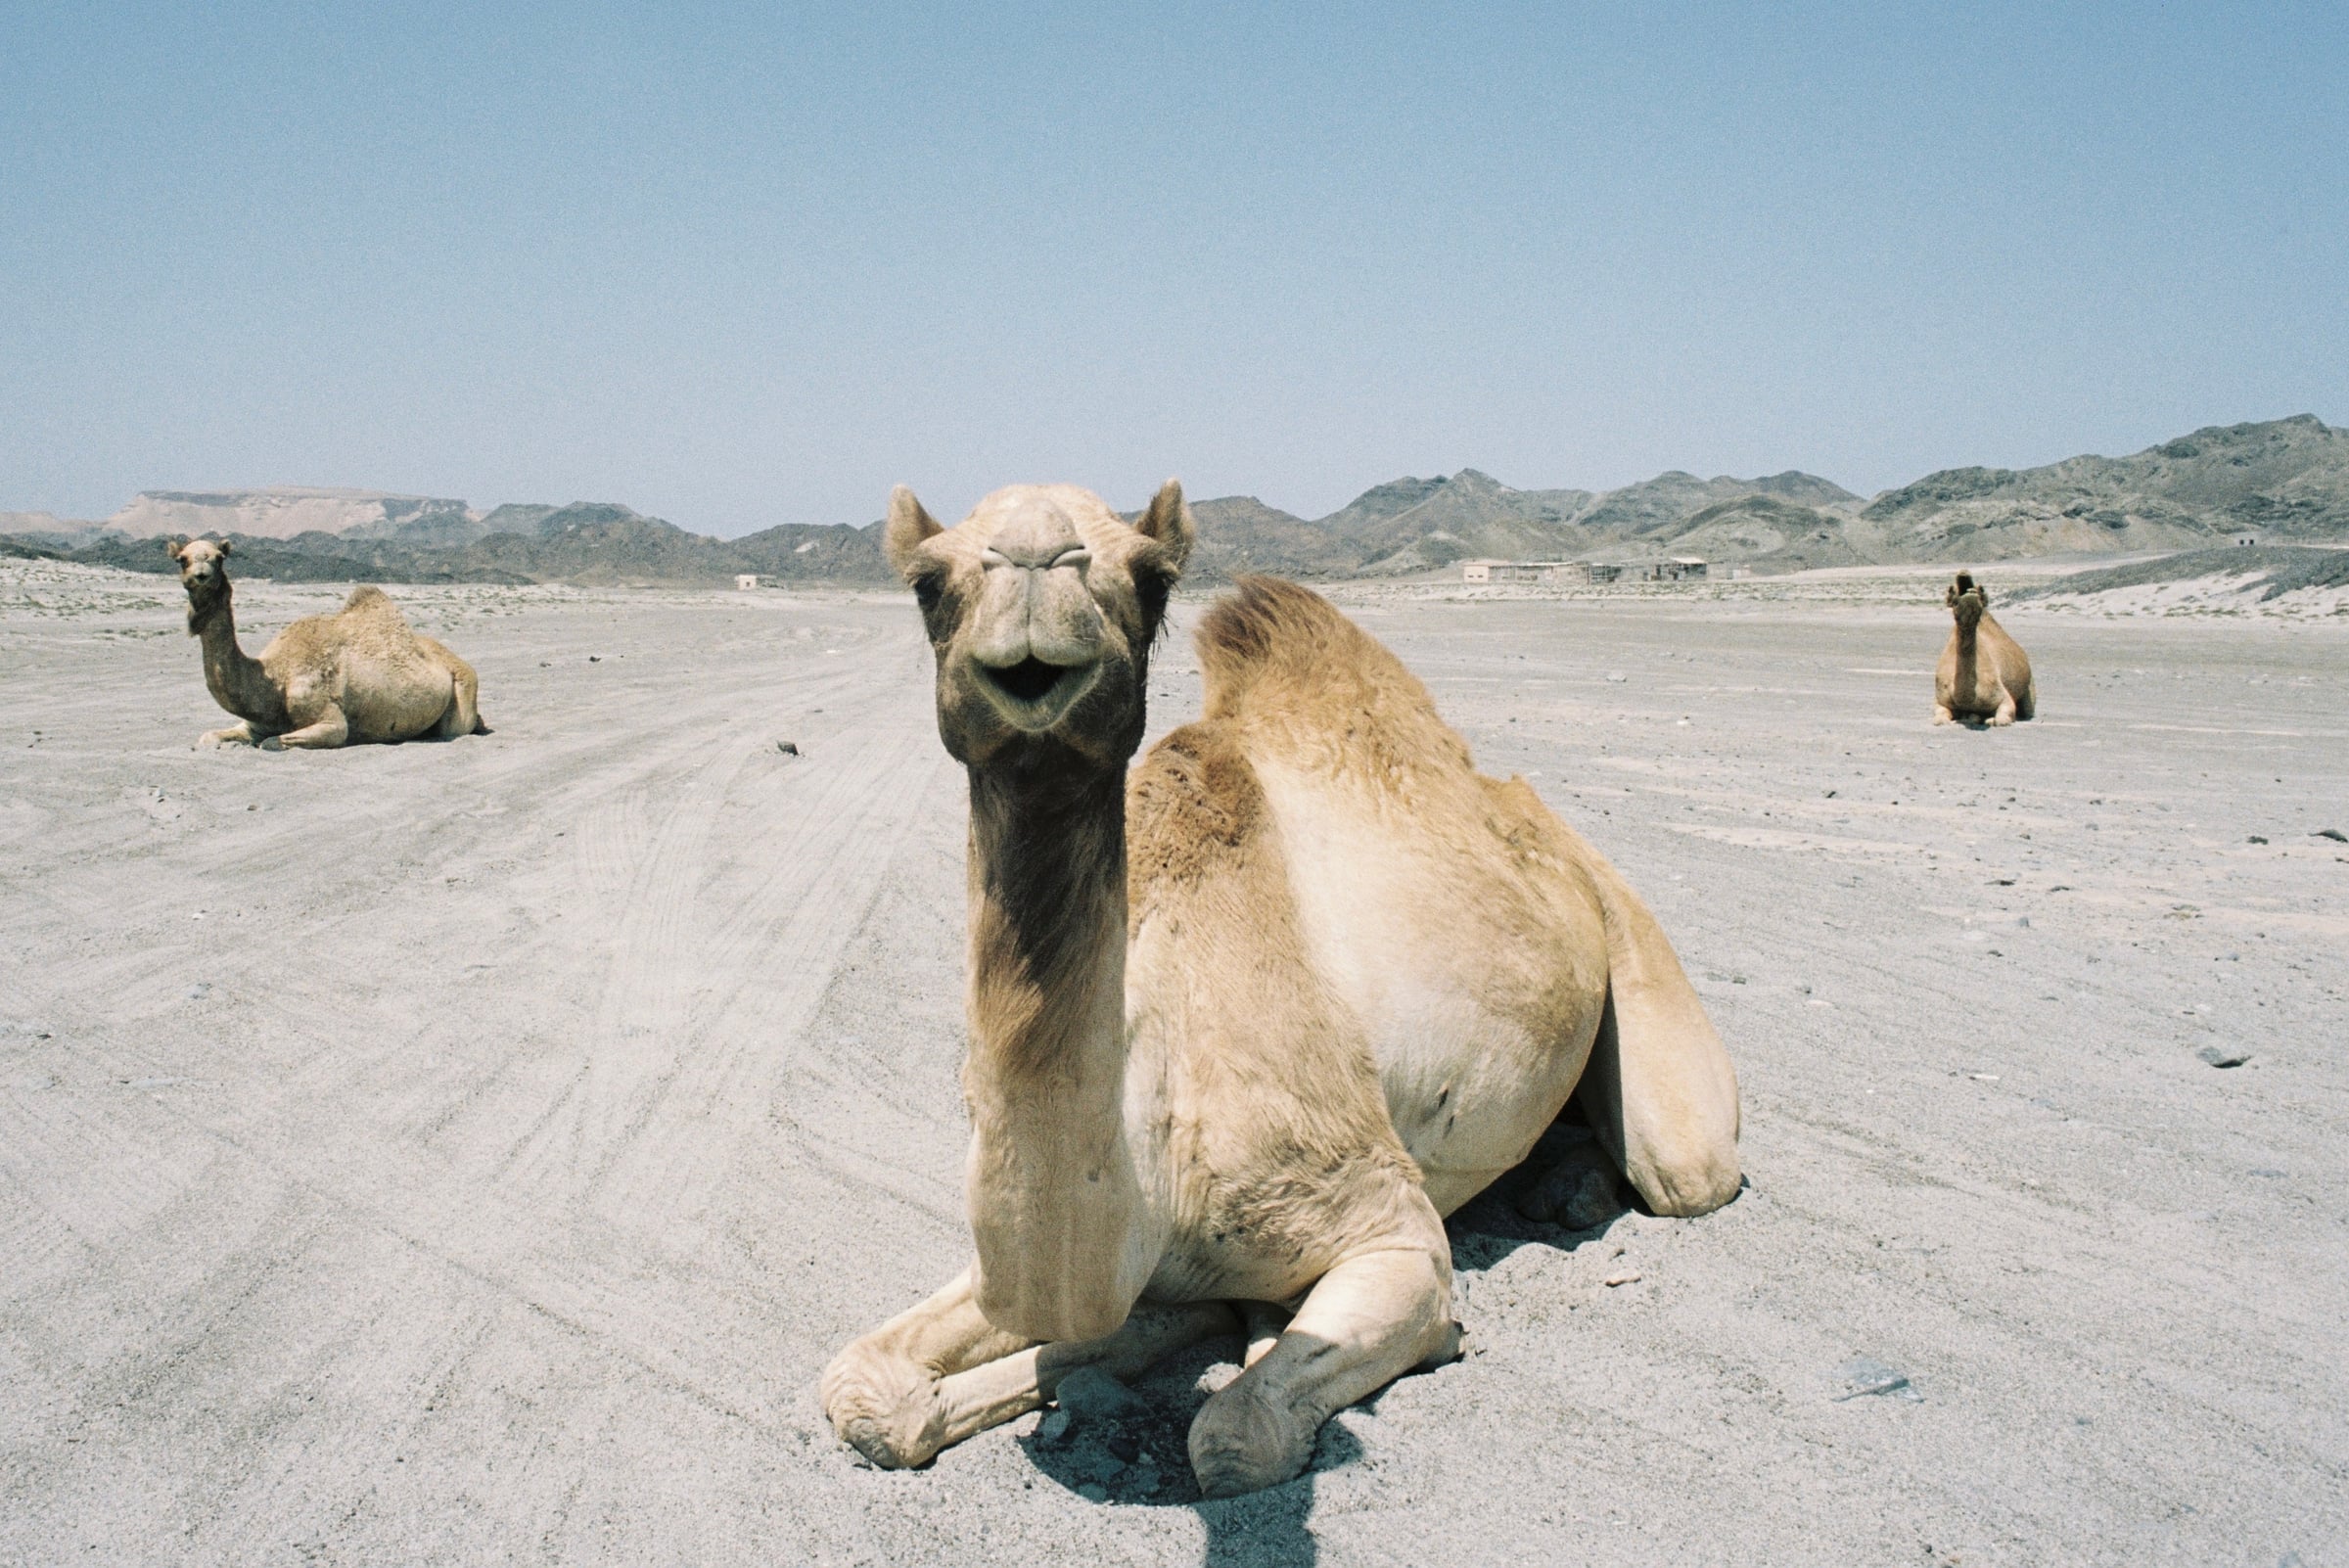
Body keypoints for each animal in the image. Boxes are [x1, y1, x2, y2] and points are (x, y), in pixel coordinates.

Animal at [165, 537, 489, 749]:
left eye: (218, 558)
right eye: (182, 559)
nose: (201, 576)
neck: (274, 679)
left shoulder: (331, 722)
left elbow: (272, 743)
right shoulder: (254, 722)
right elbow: (208, 738)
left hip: (463, 689)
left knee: (455, 729)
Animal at [819, 480, 1742, 1497]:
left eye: (1152, 578)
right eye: (926, 583)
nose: (1033, 556)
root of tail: (1526, 808)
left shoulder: (1391, 1227)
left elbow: (1233, 1435)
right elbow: (861, 1386)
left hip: (1628, 939)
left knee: (1684, 1169)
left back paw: (1572, 1191)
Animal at [1934, 571, 2035, 727]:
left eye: (1982, 590)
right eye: (1951, 591)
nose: (1964, 574)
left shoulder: (2002, 696)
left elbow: (2002, 719)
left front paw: (1990, 719)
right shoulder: (1940, 700)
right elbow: (1940, 719)